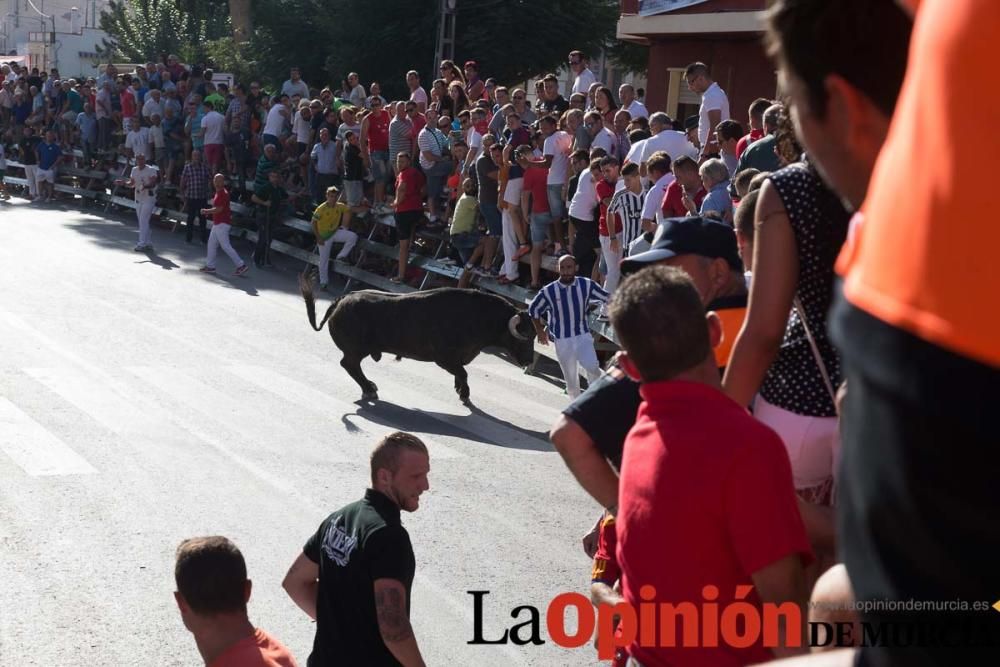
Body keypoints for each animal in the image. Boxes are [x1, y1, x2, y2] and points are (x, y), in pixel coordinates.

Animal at [300, 276, 540, 402]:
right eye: (525, 337)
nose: (529, 361)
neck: (479, 316)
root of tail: (341, 300)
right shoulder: (444, 358)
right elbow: (463, 373)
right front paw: (464, 394)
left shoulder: (456, 360)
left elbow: (461, 373)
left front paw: (460, 389)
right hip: (356, 350)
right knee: (349, 364)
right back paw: (370, 389)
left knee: (351, 366)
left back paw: (370, 387)